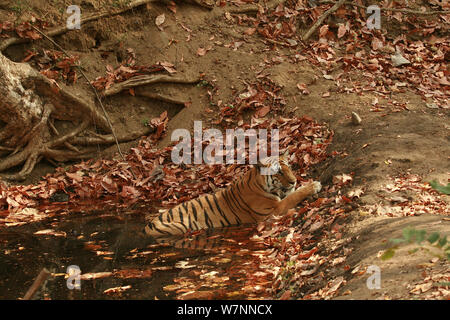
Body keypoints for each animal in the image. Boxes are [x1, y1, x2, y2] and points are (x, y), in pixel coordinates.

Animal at [143, 151, 320, 239]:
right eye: (279, 172)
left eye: (289, 167)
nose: (293, 181)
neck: (258, 182)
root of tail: (147, 226)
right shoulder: (272, 210)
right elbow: (293, 196)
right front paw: (313, 185)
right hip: (180, 226)